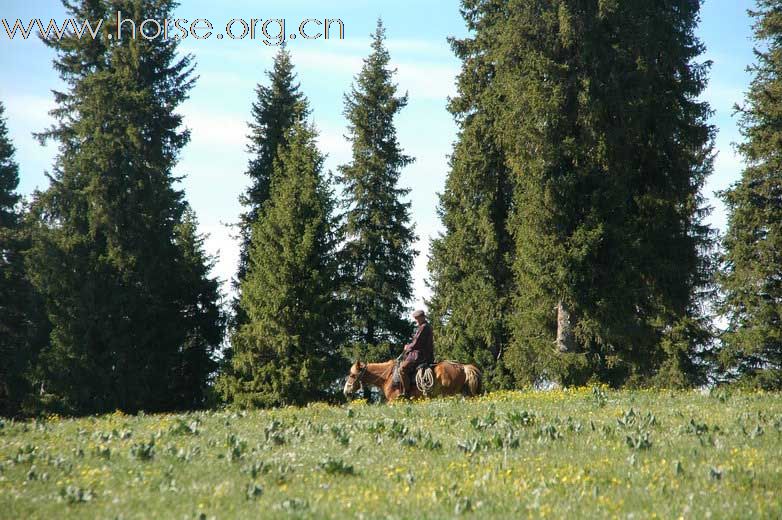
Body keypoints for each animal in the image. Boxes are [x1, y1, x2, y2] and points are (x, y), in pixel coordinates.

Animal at [344, 358, 484, 402]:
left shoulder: (394, 400)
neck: (388, 376)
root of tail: (463, 367)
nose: (346, 391)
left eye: (352, 375)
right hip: (466, 394)